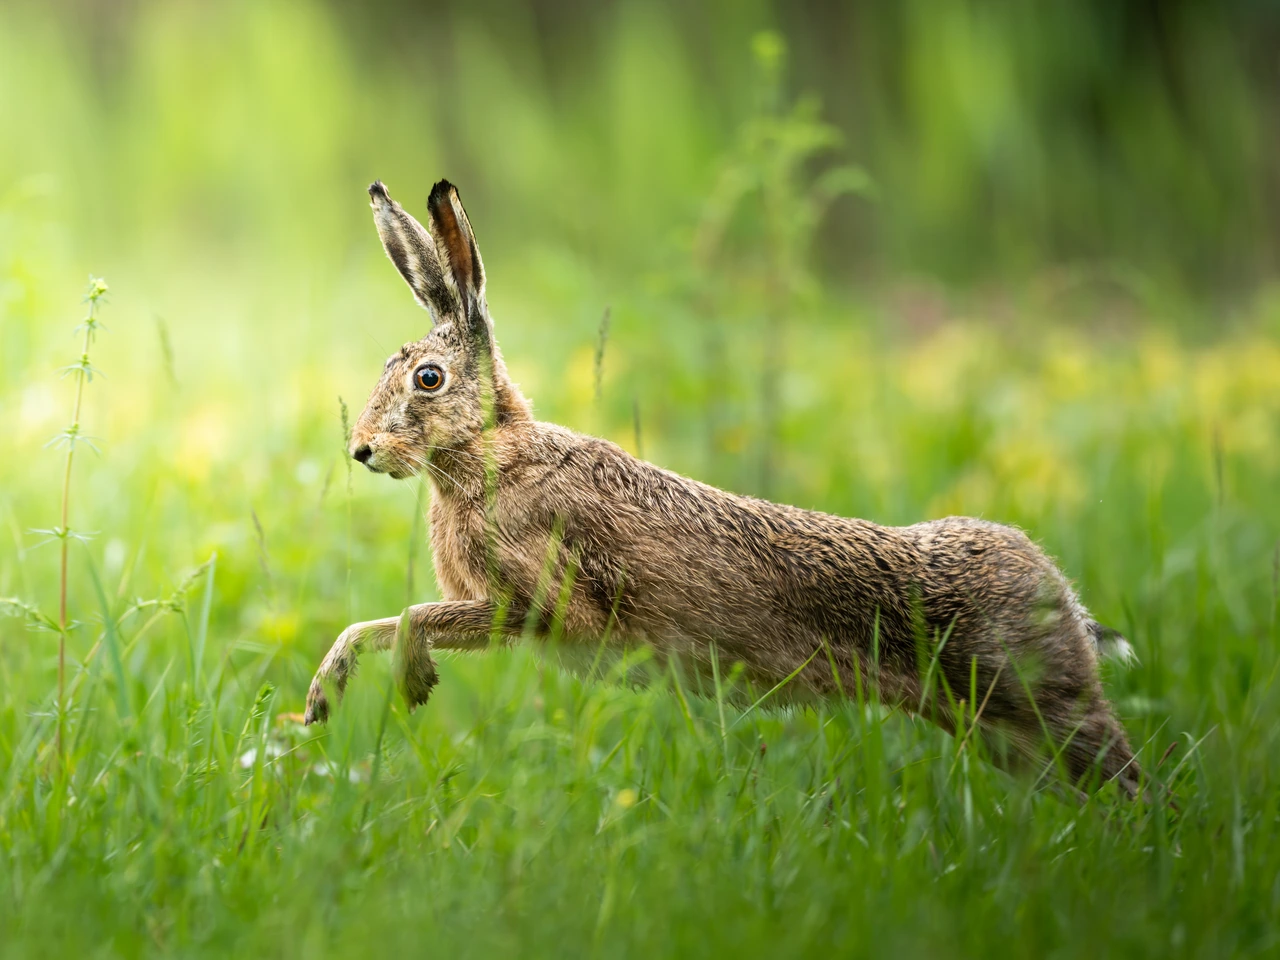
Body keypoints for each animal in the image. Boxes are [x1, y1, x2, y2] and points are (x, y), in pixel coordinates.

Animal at [304, 178, 1143, 798]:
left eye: (428, 379)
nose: (361, 450)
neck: (493, 457)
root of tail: (1058, 591)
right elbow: (378, 623)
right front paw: (325, 694)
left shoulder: (537, 605)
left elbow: (417, 616)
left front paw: (412, 684)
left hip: (1039, 704)